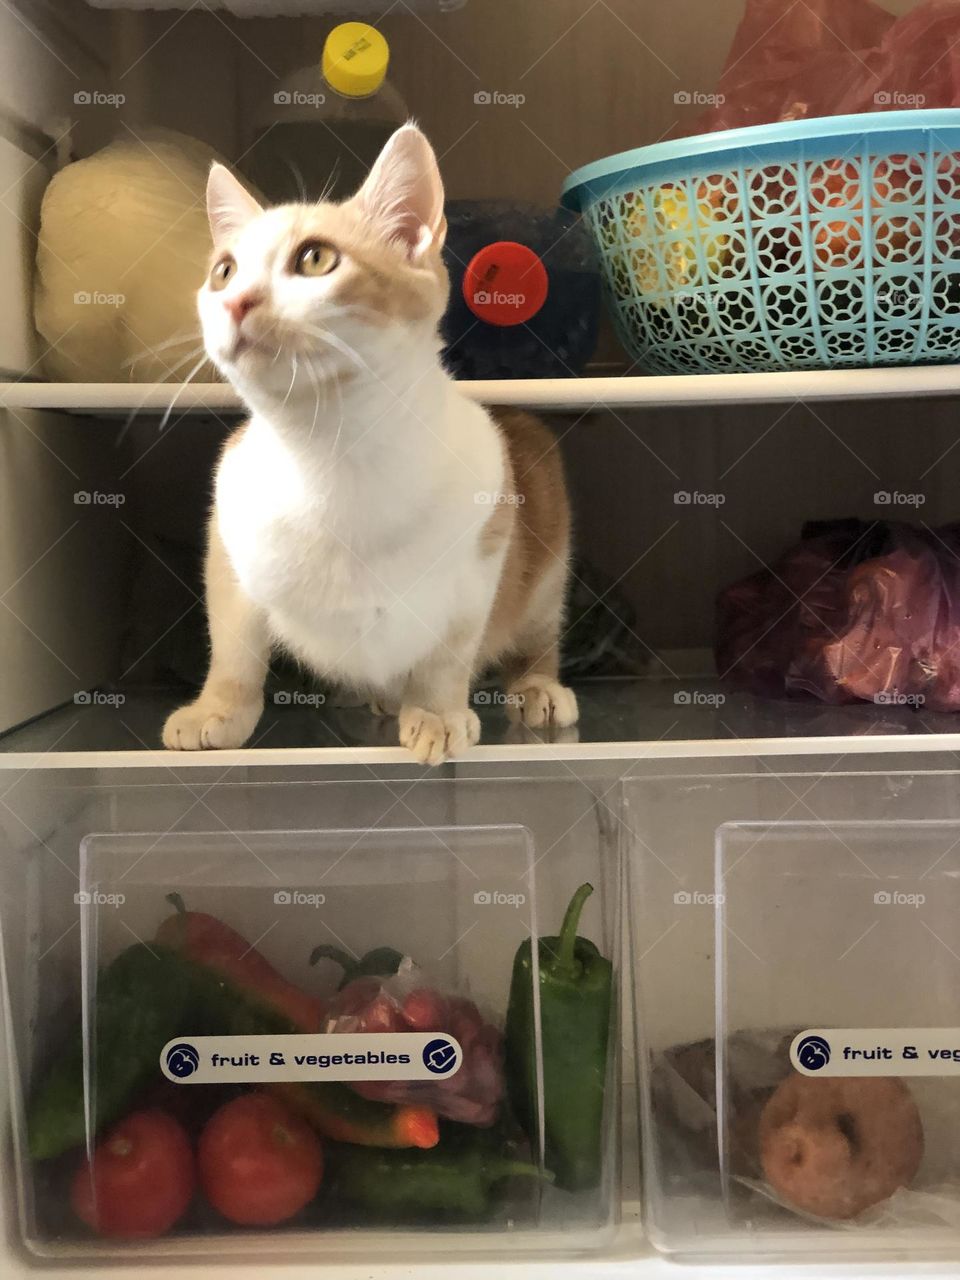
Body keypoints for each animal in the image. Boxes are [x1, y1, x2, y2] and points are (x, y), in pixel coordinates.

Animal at [163, 122, 578, 757]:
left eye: (315, 258)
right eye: (224, 271)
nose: (235, 301)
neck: (333, 450)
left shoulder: (480, 555)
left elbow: (448, 652)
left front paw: (436, 712)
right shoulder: (229, 543)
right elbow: (234, 644)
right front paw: (218, 708)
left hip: (547, 554)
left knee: (536, 632)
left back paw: (537, 686)